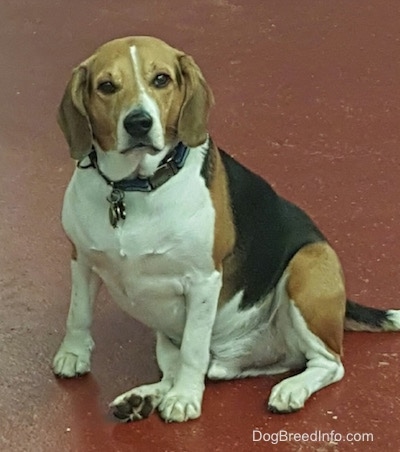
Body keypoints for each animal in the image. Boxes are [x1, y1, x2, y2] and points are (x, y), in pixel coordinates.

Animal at [53, 37, 400, 422]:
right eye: (107, 86)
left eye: (161, 79)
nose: (139, 123)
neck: (133, 187)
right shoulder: (81, 260)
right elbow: (78, 313)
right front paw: (73, 354)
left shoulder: (204, 280)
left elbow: (193, 349)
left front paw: (185, 399)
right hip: (165, 335)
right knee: (179, 369)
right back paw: (142, 398)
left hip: (309, 266)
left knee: (329, 364)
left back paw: (291, 389)